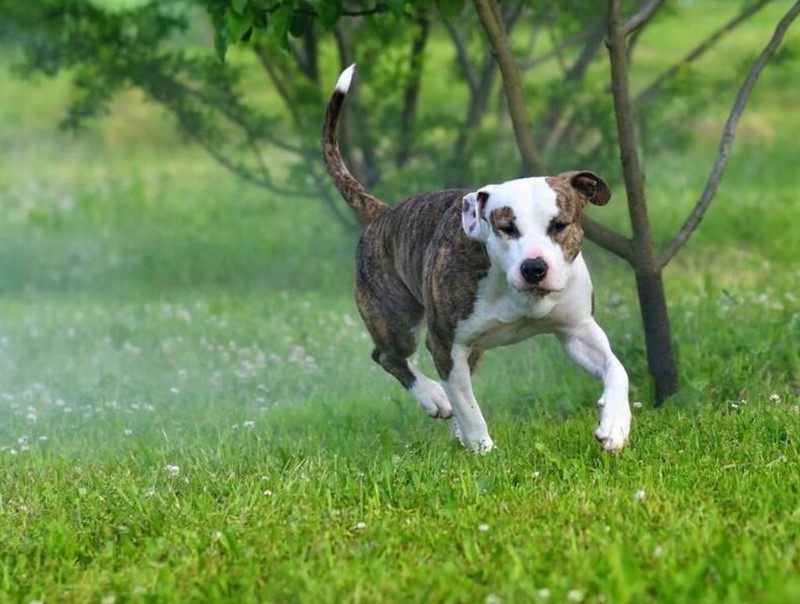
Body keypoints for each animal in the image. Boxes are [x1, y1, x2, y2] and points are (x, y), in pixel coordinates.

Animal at [320, 66, 632, 452]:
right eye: (506, 227)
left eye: (559, 225)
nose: (534, 267)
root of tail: (384, 213)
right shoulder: (445, 344)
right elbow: (469, 408)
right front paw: (483, 450)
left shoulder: (577, 331)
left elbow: (617, 369)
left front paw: (615, 423)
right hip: (397, 321)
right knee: (389, 356)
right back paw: (434, 398)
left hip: (469, 348)